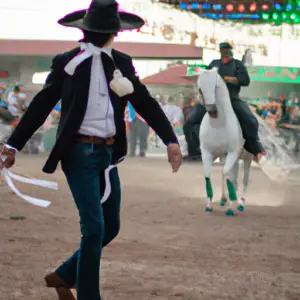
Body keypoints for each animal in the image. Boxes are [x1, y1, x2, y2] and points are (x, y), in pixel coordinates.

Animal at [198, 67, 252, 216]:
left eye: (215, 86)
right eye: (200, 89)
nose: (211, 109)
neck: (218, 124)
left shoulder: (232, 152)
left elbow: (227, 175)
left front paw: (230, 207)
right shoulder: (208, 153)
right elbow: (209, 175)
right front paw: (209, 205)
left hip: (247, 158)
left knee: (244, 179)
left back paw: (240, 203)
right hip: (229, 157)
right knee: (232, 177)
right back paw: (224, 199)